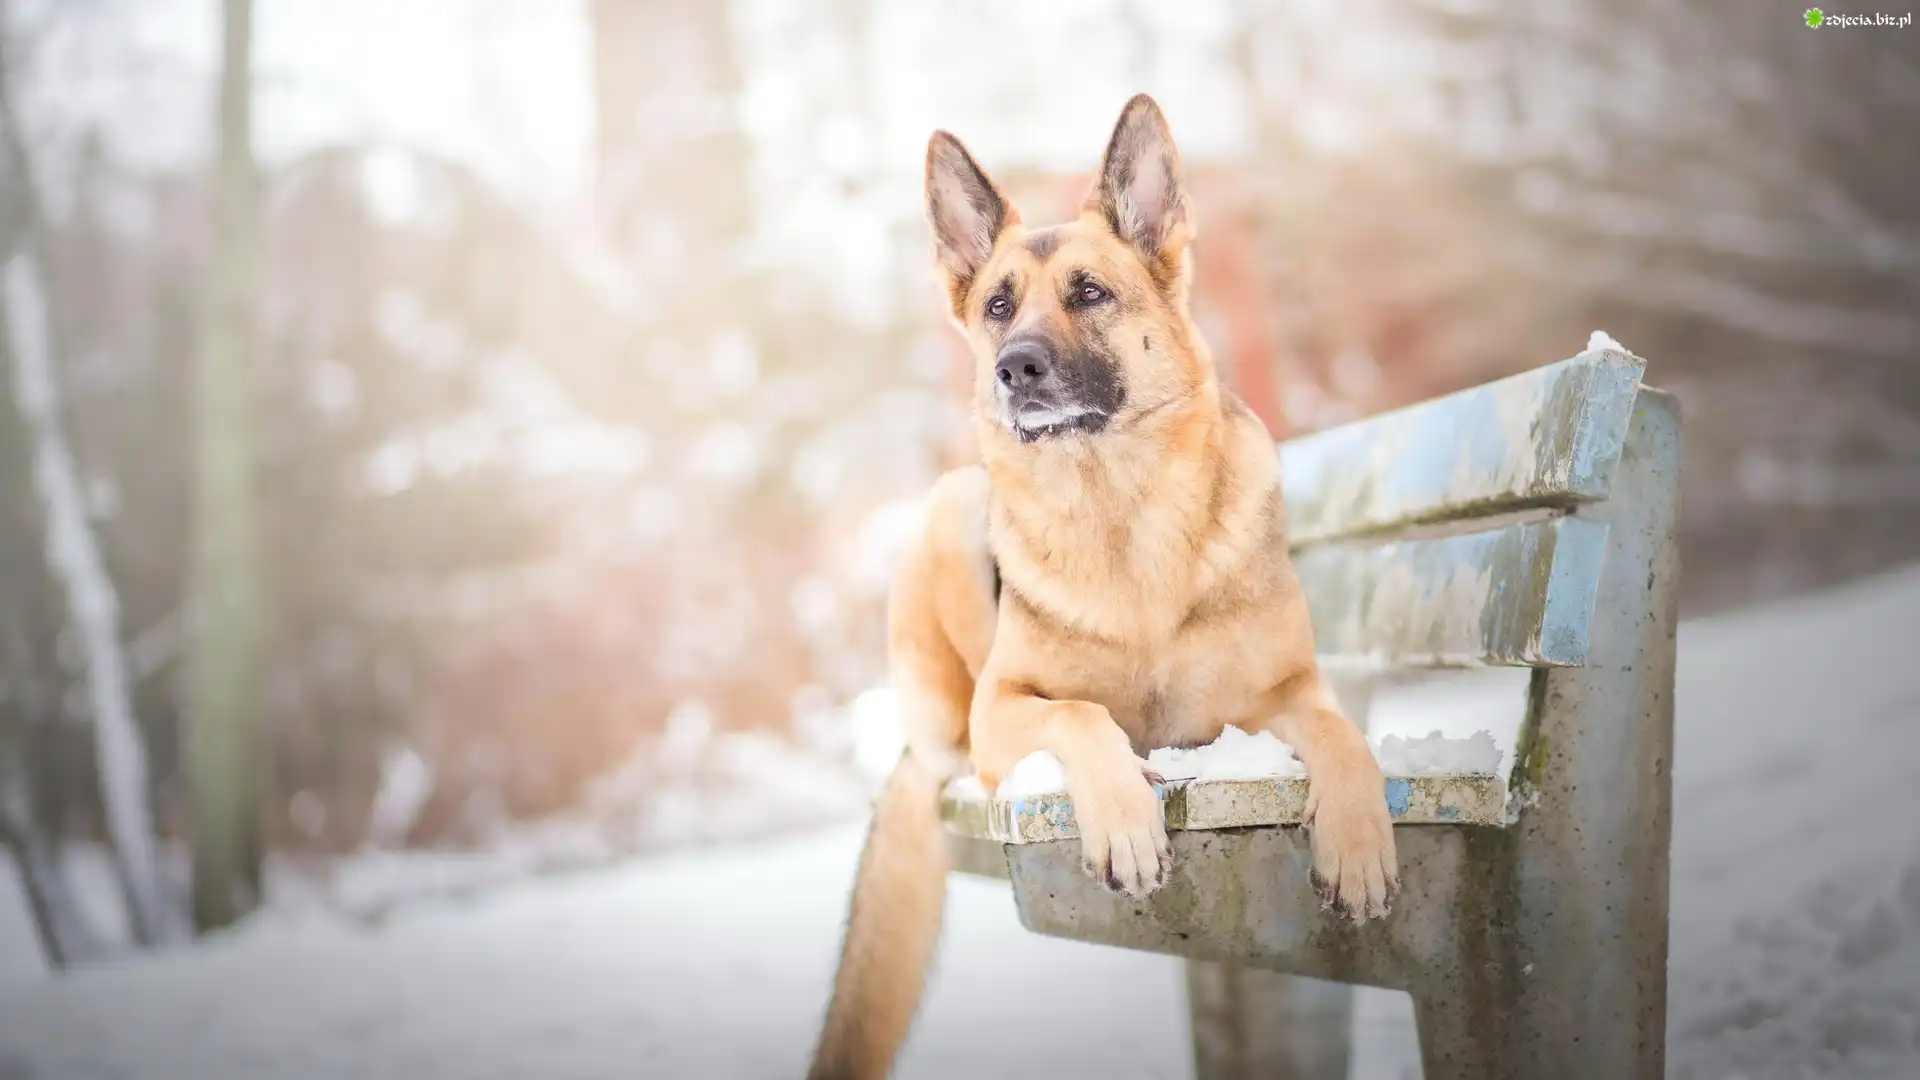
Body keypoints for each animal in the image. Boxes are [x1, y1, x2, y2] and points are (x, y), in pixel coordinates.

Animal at [807, 94, 1398, 1080]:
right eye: (998, 306)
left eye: (1089, 293)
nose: (1014, 368)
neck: (1122, 518)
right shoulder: (1005, 710)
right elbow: (1083, 716)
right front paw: (1125, 818)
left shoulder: (1290, 692)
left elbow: (1344, 736)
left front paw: (1357, 849)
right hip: (951, 507)